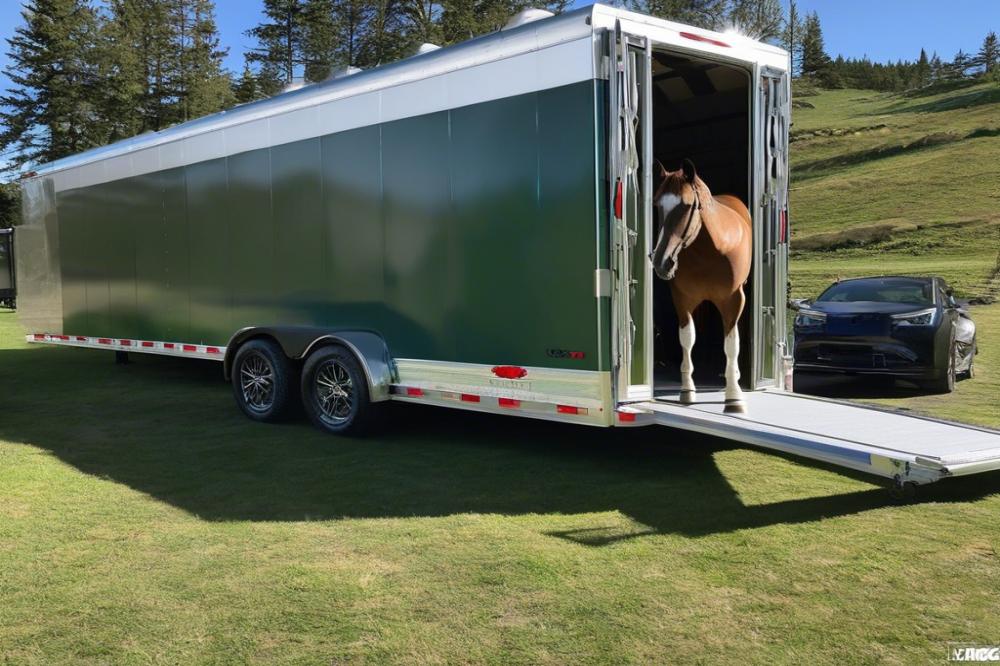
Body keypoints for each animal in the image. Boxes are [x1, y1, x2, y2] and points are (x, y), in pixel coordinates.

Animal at [648, 158, 752, 412]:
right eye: (657, 204)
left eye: (687, 205)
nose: (661, 261)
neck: (713, 249)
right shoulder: (682, 299)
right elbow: (687, 339)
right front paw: (687, 392)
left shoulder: (734, 299)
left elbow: (731, 342)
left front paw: (734, 397)